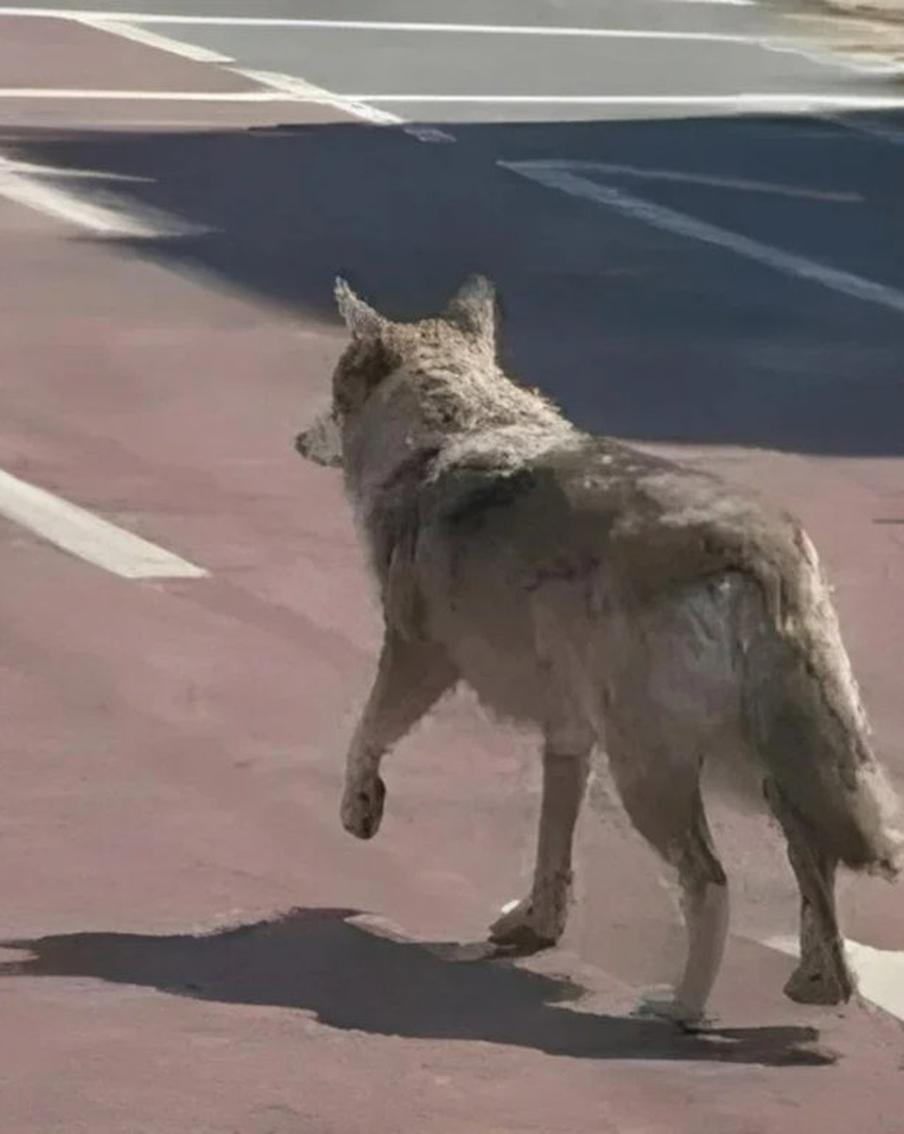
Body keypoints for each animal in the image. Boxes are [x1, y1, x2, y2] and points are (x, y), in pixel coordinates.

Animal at [295, 274, 902, 1023]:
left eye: (332, 395)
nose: (297, 438)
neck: (455, 427)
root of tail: (762, 546)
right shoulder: (567, 736)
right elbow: (552, 848)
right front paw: (535, 924)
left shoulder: (417, 656)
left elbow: (365, 735)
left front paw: (361, 809)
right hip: (763, 769)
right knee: (814, 865)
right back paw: (817, 985)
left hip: (653, 773)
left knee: (711, 882)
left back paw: (680, 1009)